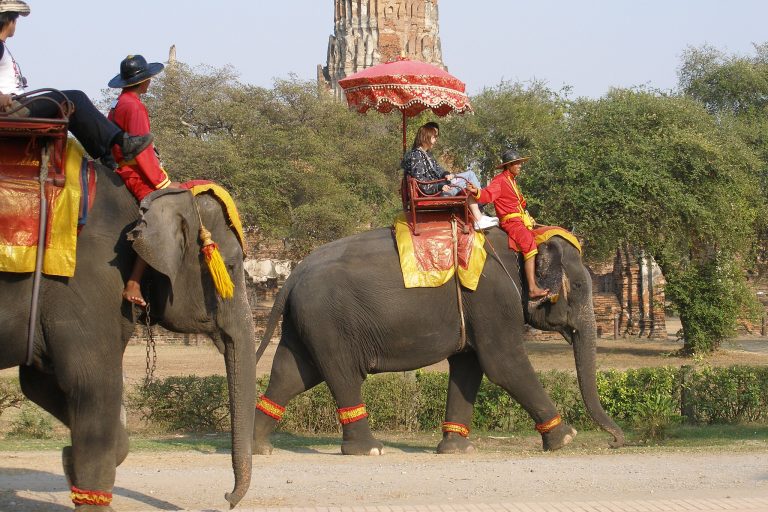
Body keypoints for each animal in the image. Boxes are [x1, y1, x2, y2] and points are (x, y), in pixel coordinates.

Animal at [0, 163, 258, 508]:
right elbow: (92, 383)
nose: (227, 498)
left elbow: (39, 383)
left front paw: (69, 461)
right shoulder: (88, 283)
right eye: (229, 268)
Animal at [252, 228, 624, 456]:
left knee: (292, 374)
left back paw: (259, 447)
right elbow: (503, 364)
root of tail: (295, 274)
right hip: (331, 322)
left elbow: (469, 366)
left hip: (307, 323)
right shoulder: (491, 298)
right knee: (342, 375)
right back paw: (370, 449)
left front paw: (457, 450)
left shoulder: (475, 309)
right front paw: (565, 439)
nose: (616, 442)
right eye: (579, 286)